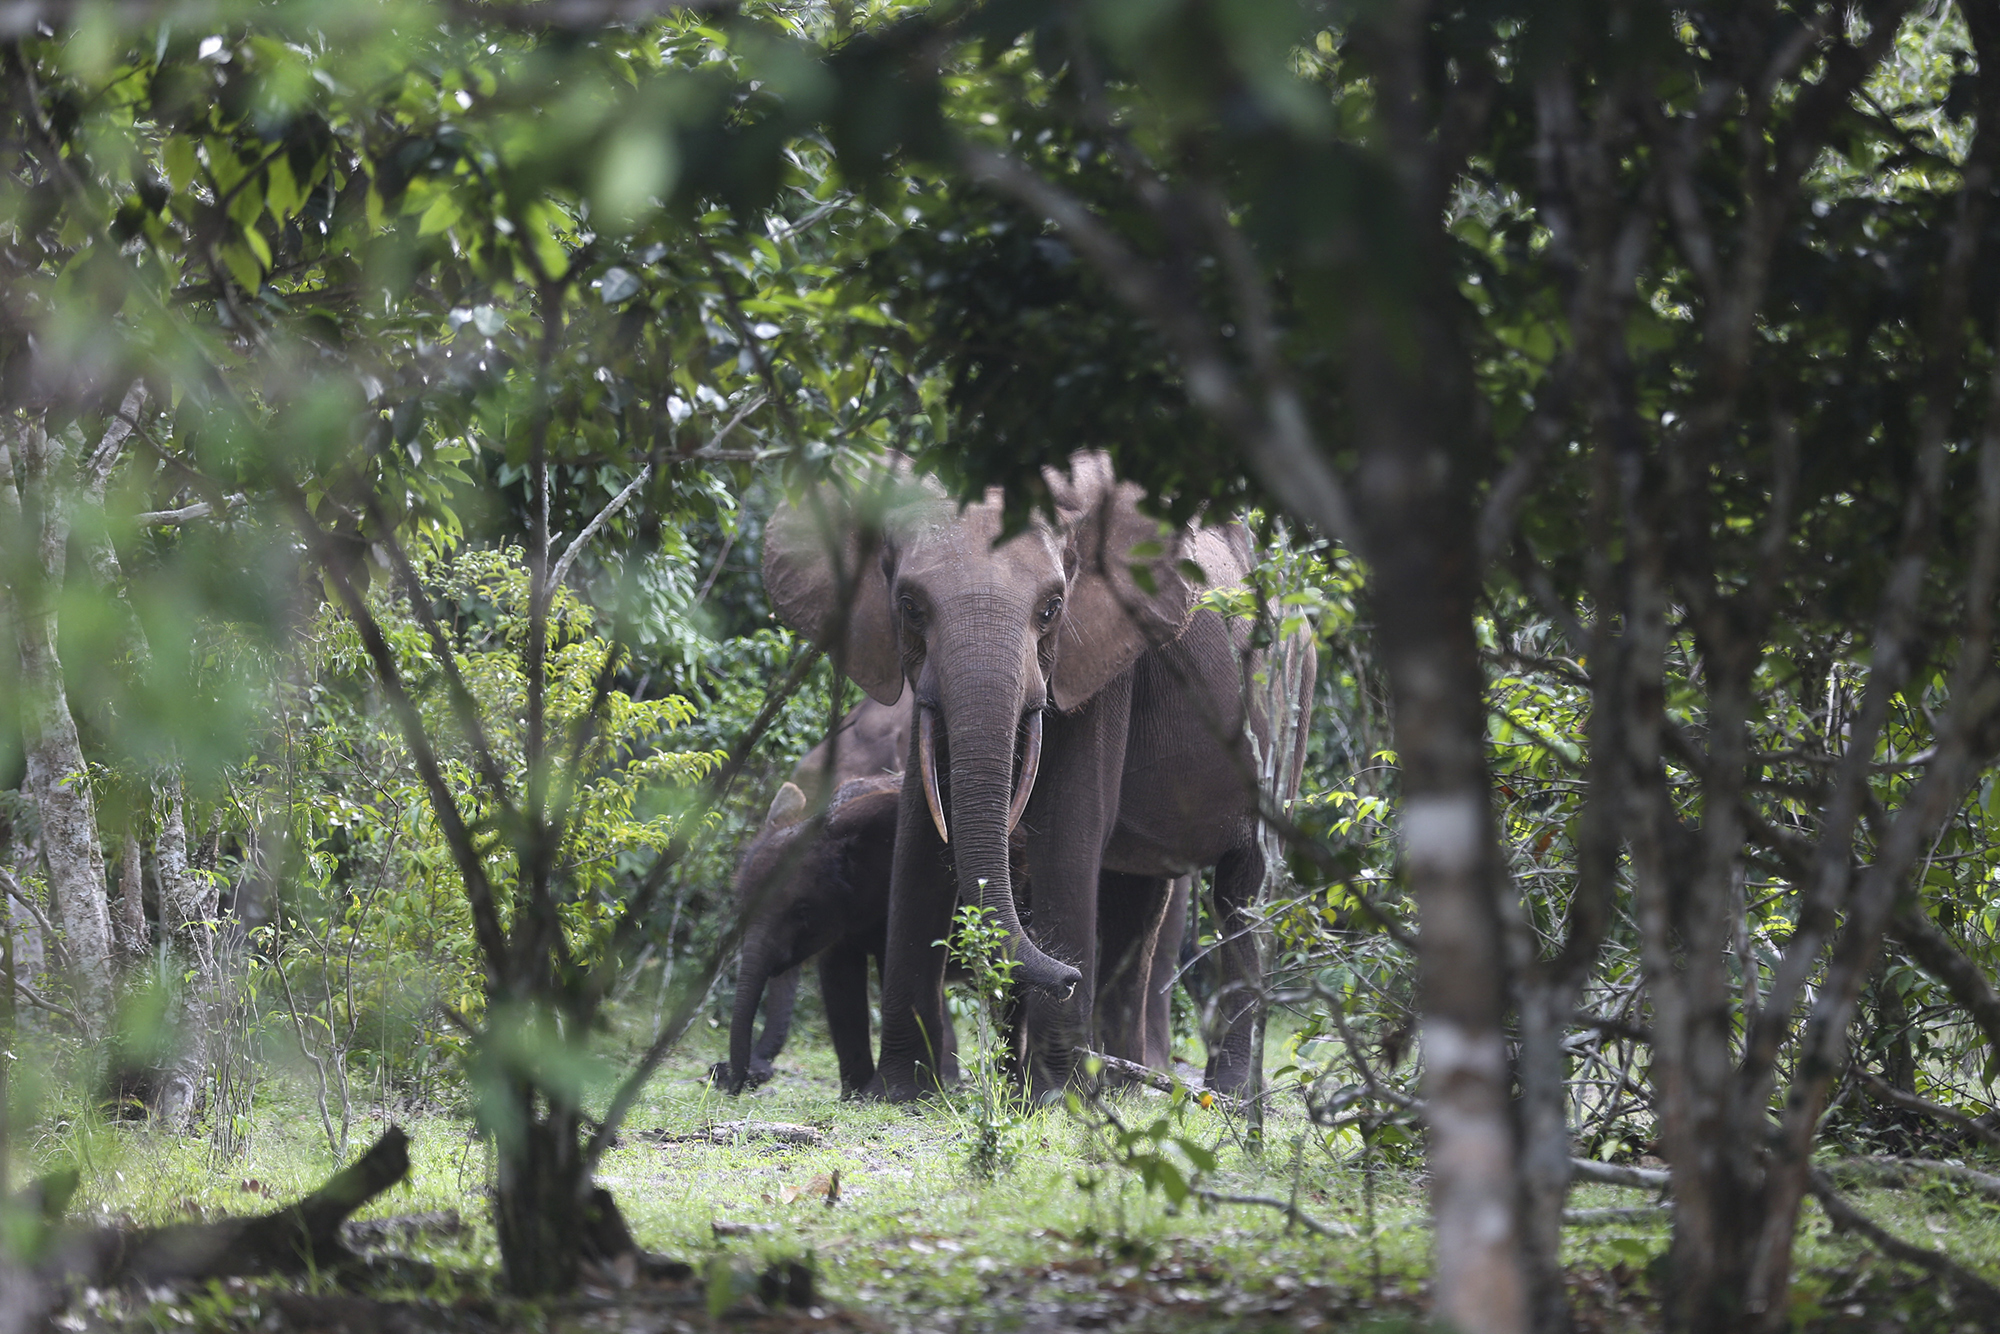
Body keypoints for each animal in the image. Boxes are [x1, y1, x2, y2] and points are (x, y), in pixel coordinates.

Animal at [764, 452, 1312, 1099]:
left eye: (1051, 607)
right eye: (909, 606)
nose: (1068, 975)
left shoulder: (1101, 661)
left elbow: (1067, 826)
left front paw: (1053, 1096)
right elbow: (922, 836)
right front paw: (899, 1094)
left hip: (1292, 700)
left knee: (1241, 890)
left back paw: (1223, 1093)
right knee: (1135, 899)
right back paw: (1126, 1086)